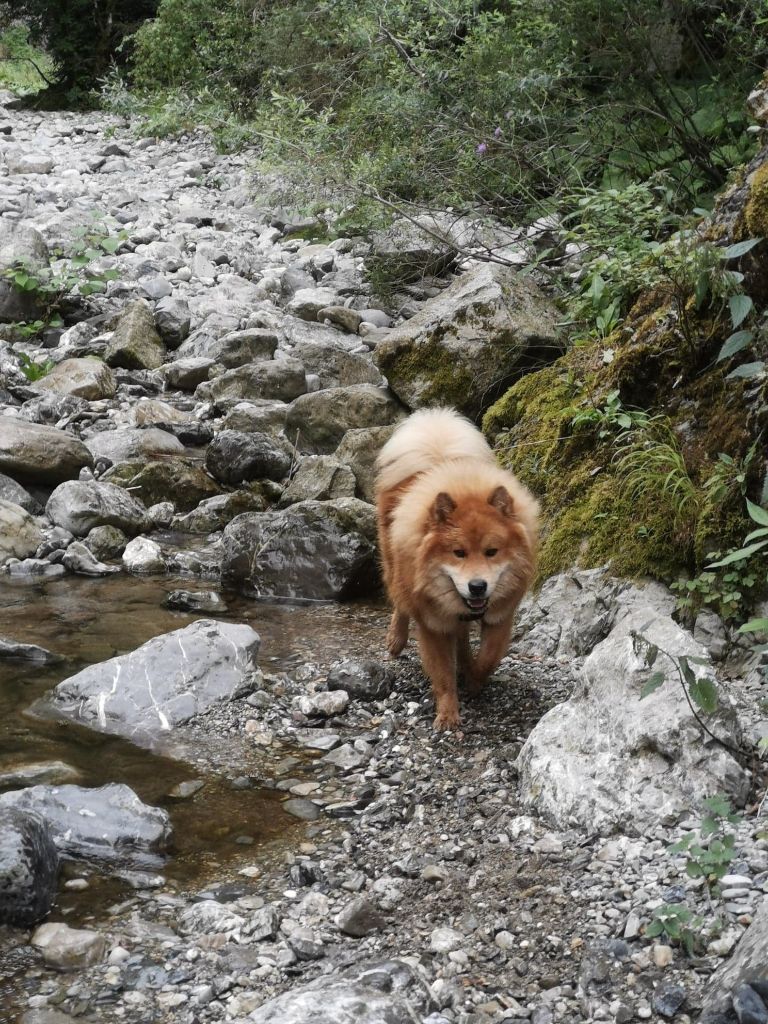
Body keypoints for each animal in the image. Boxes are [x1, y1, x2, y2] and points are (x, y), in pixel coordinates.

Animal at [376, 407, 536, 729]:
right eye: (458, 553)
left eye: (491, 552)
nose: (477, 586)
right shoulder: (432, 624)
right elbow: (442, 675)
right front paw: (448, 715)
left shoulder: (500, 616)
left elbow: (488, 658)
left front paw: (474, 678)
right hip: (394, 568)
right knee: (400, 602)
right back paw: (396, 640)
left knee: (462, 637)